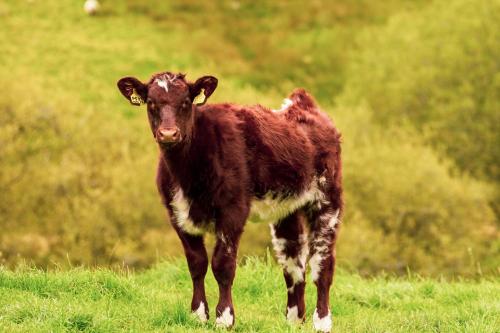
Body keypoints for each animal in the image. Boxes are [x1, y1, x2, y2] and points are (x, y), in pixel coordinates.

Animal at [117, 71, 344, 330]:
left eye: (185, 102)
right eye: (151, 103)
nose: (168, 133)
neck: (189, 173)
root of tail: (303, 104)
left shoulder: (232, 210)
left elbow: (222, 265)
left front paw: (224, 318)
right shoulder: (177, 213)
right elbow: (196, 263)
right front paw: (197, 314)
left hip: (327, 199)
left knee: (322, 262)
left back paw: (322, 321)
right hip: (286, 209)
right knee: (293, 263)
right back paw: (293, 320)